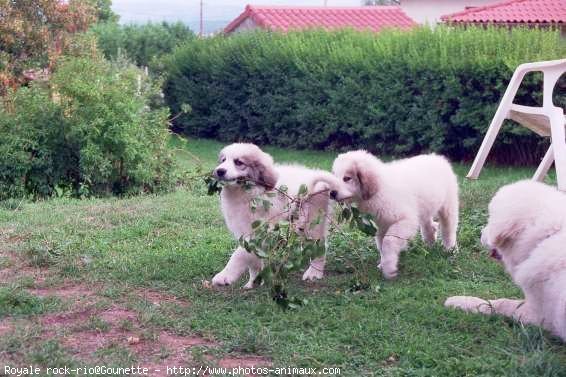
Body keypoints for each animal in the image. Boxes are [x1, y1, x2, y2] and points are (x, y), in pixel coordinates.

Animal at [214, 142, 338, 286]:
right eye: (223, 160)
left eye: (238, 162)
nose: (219, 171)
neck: (248, 193)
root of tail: (315, 174)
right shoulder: (245, 228)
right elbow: (253, 258)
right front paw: (254, 280)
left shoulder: (262, 231)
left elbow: (239, 254)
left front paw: (224, 276)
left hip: (312, 222)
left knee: (320, 246)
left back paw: (314, 272)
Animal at [330, 151, 460, 280]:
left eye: (347, 178)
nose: (331, 193)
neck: (380, 188)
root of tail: (438, 158)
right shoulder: (382, 225)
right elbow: (381, 245)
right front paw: (383, 264)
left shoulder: (405, 220)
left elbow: (388, 242)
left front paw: (389, 269)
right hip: (425, 208)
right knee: (430, 226)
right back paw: (430, 244)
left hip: (448, 206)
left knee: (448, 229)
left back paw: (450, 249)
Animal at [446, 180, 566, 340]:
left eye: (490, 219)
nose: (481, 233)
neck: (546, 237)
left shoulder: (541, 316)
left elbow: (500, 303)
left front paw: (459, 301)